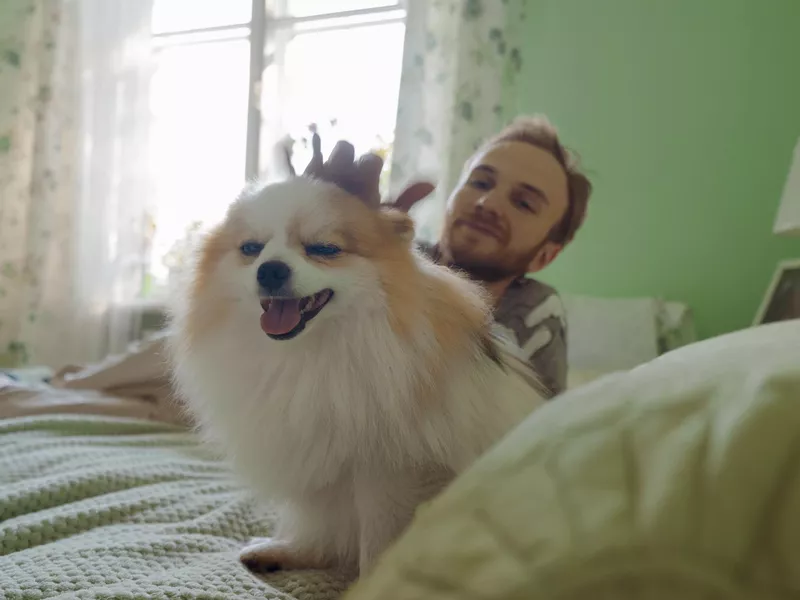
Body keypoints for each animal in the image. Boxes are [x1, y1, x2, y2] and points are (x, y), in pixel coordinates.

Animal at [167, 152, 544, 576]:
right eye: (252, 248)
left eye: (324, 248)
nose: (270, 269)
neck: (312, 353)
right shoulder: (321, 464)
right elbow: (323, 525)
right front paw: (296, 550)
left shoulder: (387, 471)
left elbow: (376, 544)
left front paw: (372, 583)